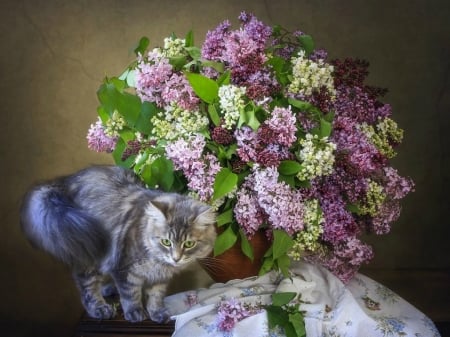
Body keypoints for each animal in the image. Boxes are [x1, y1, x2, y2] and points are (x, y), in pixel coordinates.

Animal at [20, 164, 217, 322]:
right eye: (166, 242)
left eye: (189, 244)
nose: (176, 258)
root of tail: (64, 181)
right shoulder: (124, 269)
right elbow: (131, 295)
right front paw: (135, 313)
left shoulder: (159, 278)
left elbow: (155, 296)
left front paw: (157, 313)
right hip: (90, 252)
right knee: (87, 286)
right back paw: (100, 308)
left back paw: (108, 290)